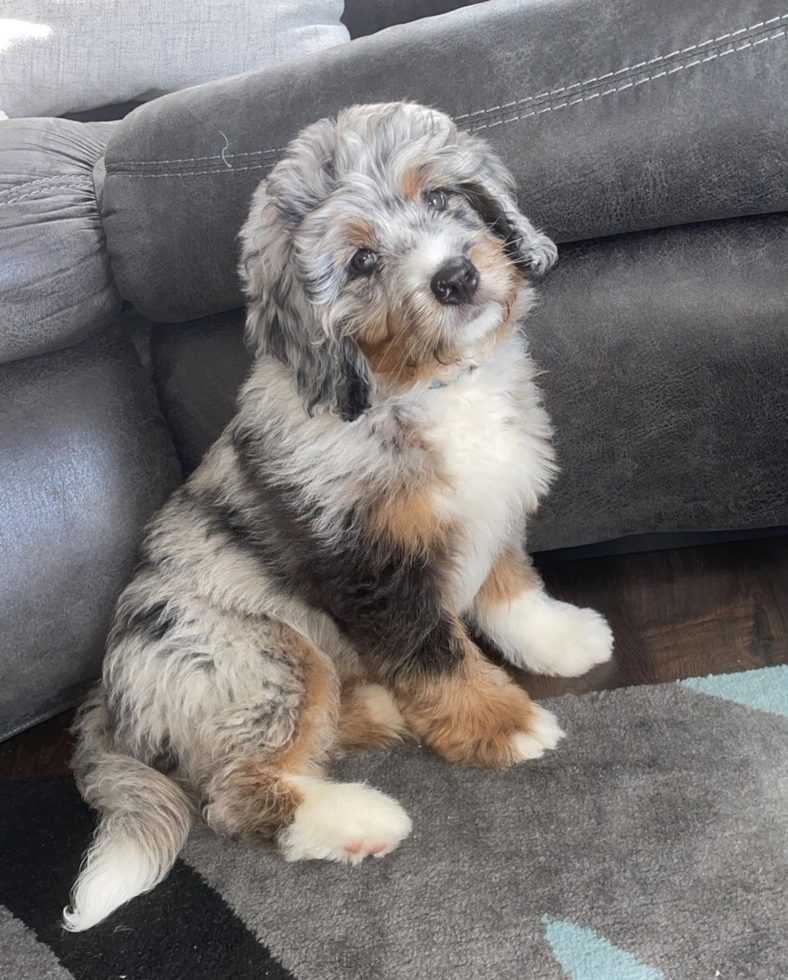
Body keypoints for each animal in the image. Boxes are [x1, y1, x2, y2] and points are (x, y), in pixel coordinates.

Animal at [63, 103, 616, 932]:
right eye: (360, 262)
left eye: (442, 197)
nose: (456, 277)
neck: (425, 385)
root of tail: (106, 696)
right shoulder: (371, 568)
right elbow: (437, 654)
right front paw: (503, 724)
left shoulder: (491, 506)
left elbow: (507, 583)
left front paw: (559, 638)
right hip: (260, 657)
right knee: (236, 791)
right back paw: (355, 818)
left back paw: (379, 709)